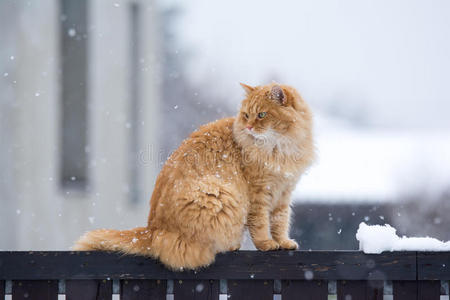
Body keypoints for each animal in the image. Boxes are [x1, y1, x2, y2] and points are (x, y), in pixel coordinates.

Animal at [73, 83, 312, 270]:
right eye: (246, 115)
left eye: (261, 115)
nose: (249, 126)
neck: (279, 149)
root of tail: (153, 230)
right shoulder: (259, 193)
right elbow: (261, 224)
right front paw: (267, 245)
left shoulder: (284, 193)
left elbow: (280, 222)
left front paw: (283, 242)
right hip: (216, 194)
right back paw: (230, 245)